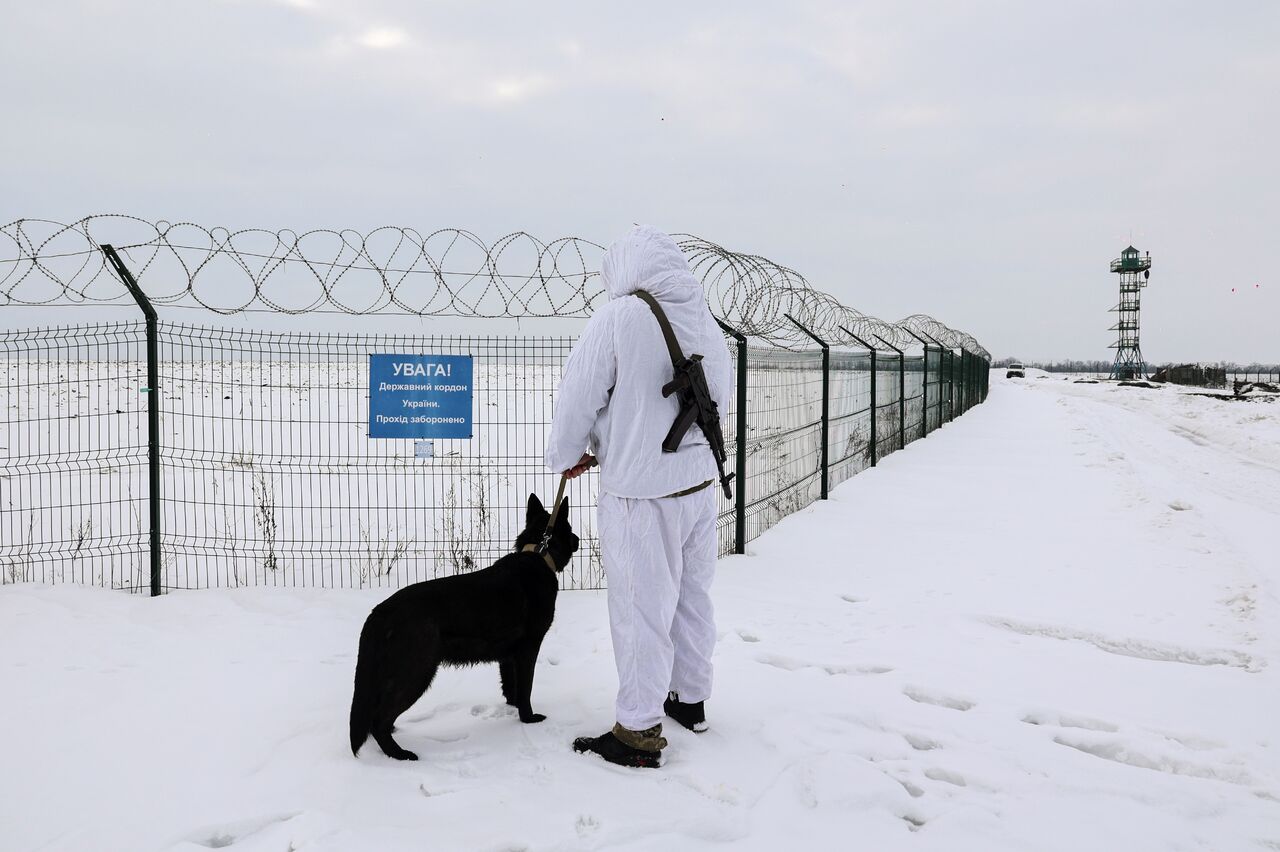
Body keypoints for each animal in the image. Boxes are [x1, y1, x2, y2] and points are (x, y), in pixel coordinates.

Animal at [345, 488, 576, 757]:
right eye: (570, 528)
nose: (578, 540)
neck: (540, 553)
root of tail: (380, 612)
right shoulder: (528, 649)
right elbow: (526, 688)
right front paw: (528, 718)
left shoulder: (507, 656)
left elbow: (512, 688)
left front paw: (513, 709)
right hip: (416, 673)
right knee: (379, 720)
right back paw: (399, 754)